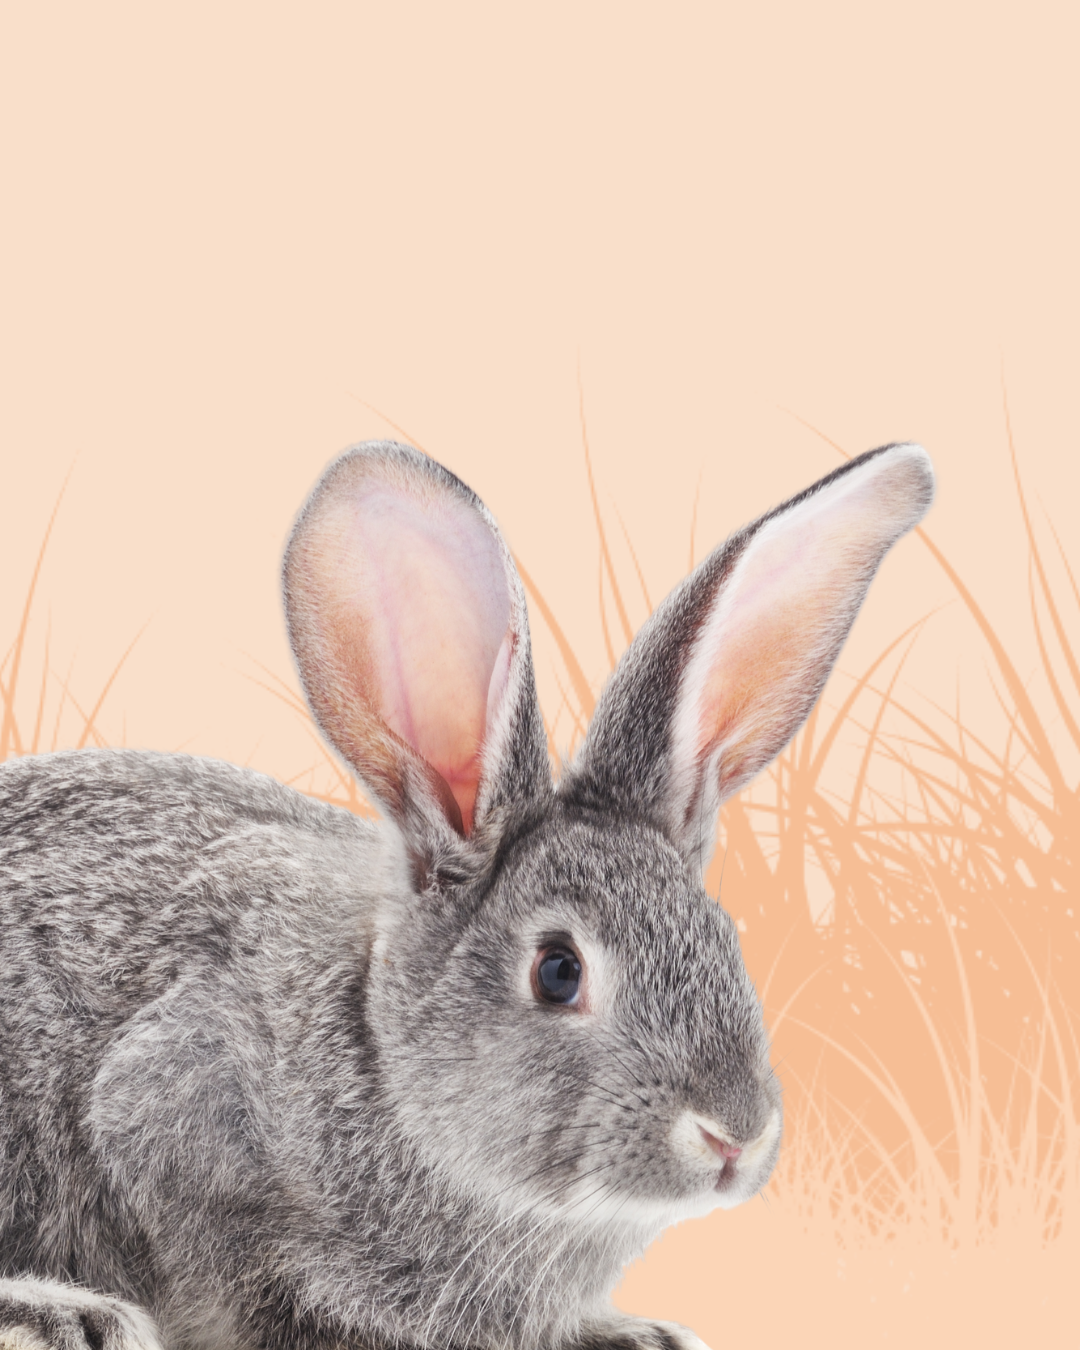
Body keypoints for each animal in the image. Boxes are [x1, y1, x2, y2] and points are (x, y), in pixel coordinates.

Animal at [0, 439, 934, 1350]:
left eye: (725, 937)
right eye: (558, 971)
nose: (734, 1133)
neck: (380, 1057)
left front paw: (639, 1334)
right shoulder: (167, 1112)